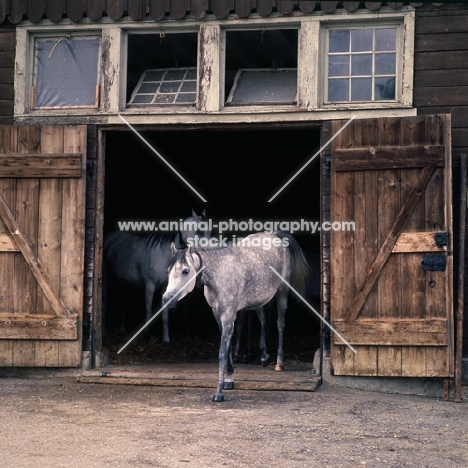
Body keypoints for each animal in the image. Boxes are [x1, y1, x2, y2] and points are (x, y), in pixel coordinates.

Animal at [103, 210, 210, 342]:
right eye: (200, 231)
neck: (164, 257)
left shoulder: (165, 289)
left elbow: (165, 316)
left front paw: (166, 339)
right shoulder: (149, 287)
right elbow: (149, 314)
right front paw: (146, 338)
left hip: (124, 282)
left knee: (122, 304)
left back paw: (122, 330)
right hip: (106, 277)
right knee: (105, 303)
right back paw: (104, 330)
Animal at [162, 230, 310, 402]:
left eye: (186, 271)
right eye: (168, 271)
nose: (167, 299)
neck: (219, 272)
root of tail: (274, 234)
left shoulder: (228, 315)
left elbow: (222, 352)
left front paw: (219, 392)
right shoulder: (218, 315)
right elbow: (228, 349)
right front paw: (229, 379)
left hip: (282, 291)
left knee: (280, 324)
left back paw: (279, 363)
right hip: (257, 300)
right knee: (263, 320)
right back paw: (264, 357)